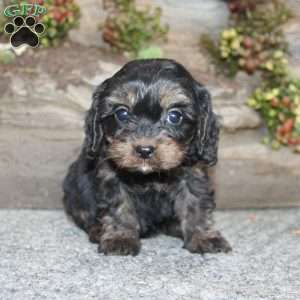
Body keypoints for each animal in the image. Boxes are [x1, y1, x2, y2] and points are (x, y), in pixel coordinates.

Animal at [62, 58, 232, 255]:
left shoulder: (193, 174)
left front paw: (203, 236)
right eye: (122, 113)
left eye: (175, 116)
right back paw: (98, 230)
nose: (144, 150)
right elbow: (119, 207)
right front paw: (120, 238)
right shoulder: (111, 176)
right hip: (75, 188)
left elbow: (196, 204)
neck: (150, 175)